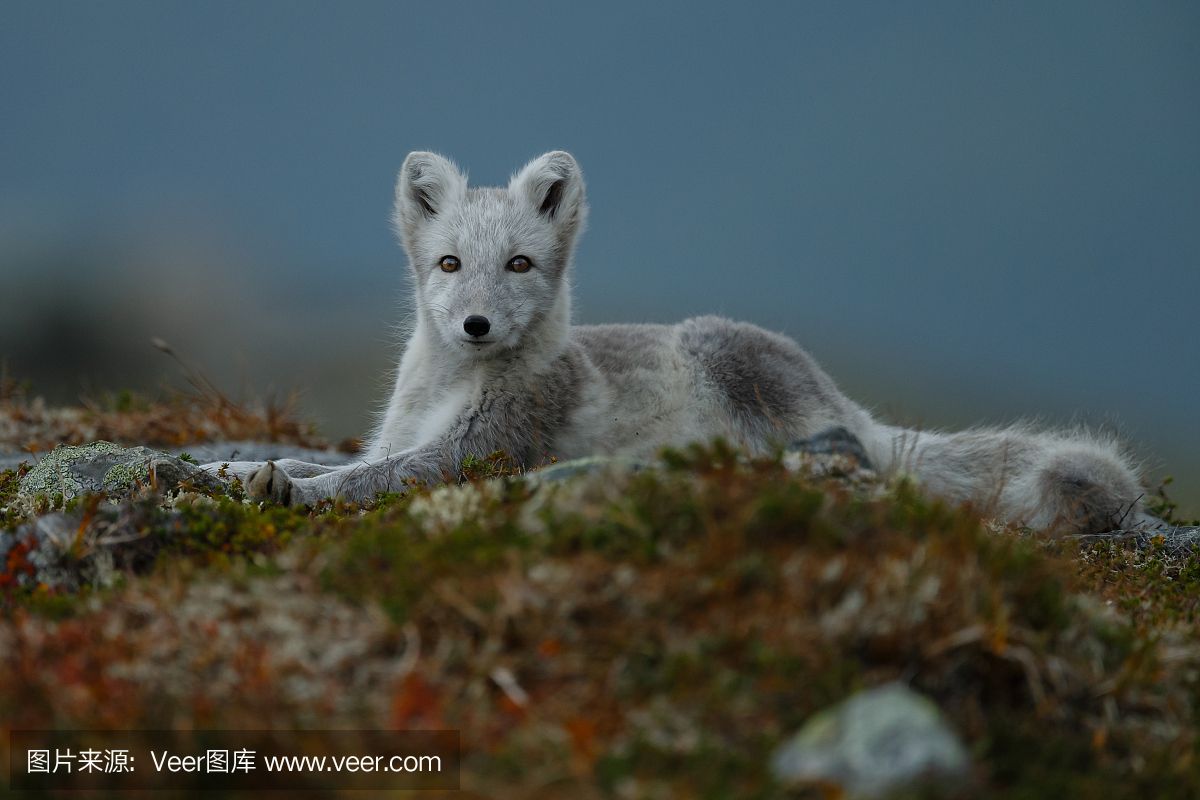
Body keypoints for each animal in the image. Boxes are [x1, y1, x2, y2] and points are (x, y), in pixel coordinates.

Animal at [206, 151, 1161, 537]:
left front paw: (286, 491)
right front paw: (232, 469)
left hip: (726, 357)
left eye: (518, 264)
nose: (476, 324)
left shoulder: (474, 454)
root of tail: (842, 396)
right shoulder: (398, 436)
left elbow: (358, 482)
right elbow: (326, 461)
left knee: (833, 456)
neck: (448, 385)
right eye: (448, 264)